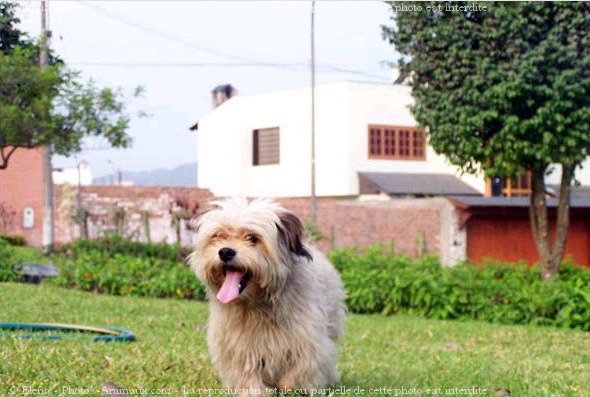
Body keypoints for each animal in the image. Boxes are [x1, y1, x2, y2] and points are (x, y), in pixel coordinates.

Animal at [190, 198, 346, 392]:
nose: (225, 252)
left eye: (252, 238)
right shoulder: (237, 344)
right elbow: (246, 372)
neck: (257, 304)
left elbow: (300, 369)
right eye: (218, 235)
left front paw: (289, 388)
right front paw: (253, 391)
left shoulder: (308, 340)